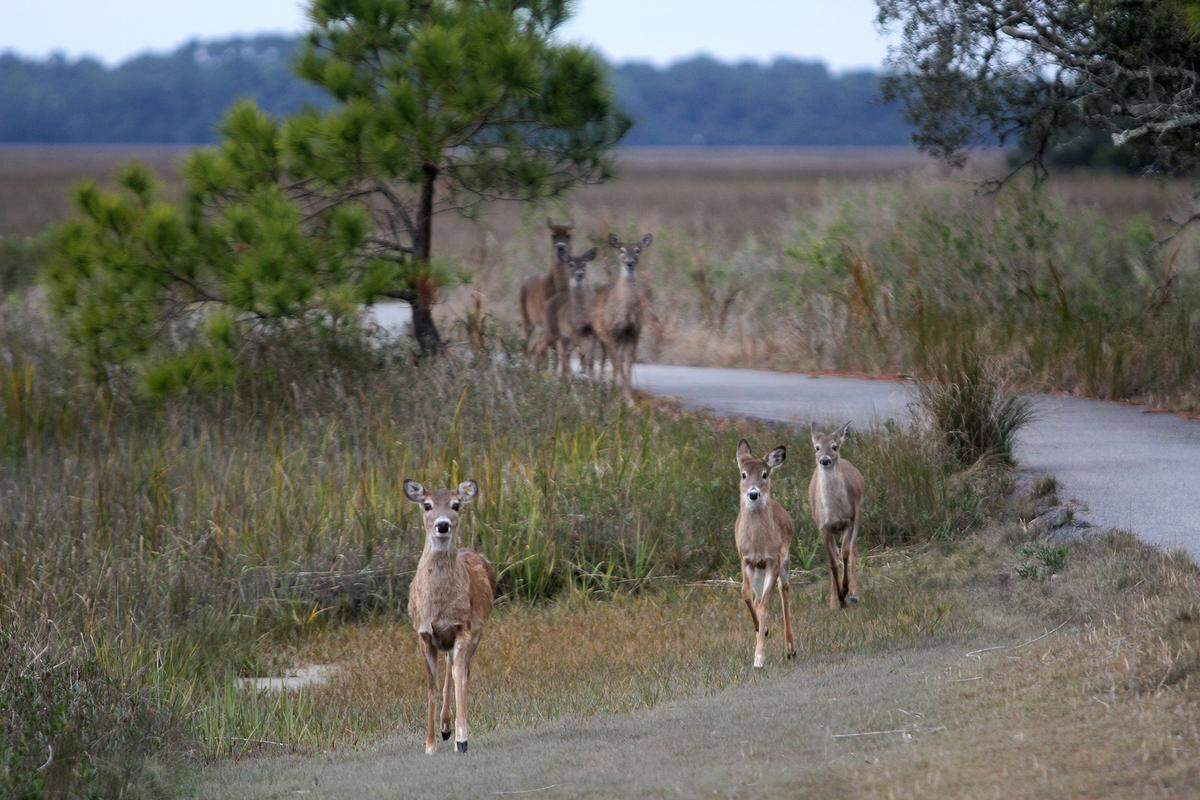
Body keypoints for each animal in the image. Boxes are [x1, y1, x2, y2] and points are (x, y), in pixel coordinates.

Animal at [403, 478, 496, 755]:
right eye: (427, 505)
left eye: (456, 505)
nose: (442, 525)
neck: (438, 607)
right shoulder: (424, 635)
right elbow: (431, 686)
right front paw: (429, 744)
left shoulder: (463, 629)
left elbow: (459, 678)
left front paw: (462, 739)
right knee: (448, 666)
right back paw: (444, 728)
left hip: (476, 634)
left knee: (460, 671)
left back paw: (451, 730)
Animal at [535, 246, 599, 381]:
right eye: (570, 264)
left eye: (584, 263)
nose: (579, 274)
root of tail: (547, 302)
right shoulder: (575, 331)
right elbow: (583, 354)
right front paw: (584, 376)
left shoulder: (594, 332)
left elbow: (590, 358)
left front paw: (591, 377)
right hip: (552, 329)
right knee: (541, 345)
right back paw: (538, 373)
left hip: (563, 336)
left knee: (561, 352)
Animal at [592, 233, 653, 404]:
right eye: (621, 250)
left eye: (638, 250)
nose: (629, 263)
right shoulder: (610, 331)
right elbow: (618, 363)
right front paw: (618, 396)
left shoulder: (633, 332)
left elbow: (628, 363)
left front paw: (629, 399)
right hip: (598, 333)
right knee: (600, 358)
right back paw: (599, 386)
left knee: (610, 358)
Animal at [733, 439, 797, 669]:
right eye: (743, 474)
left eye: (764, 474)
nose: (753, 494)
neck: (758, 543)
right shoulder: (745, 559)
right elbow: (745, 594)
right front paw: (763, 629)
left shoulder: (773, 560)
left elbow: (764, 606)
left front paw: (759, 658)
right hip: (758, 571)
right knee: (758, 595)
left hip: (785, 560)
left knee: (783, 591)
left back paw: (791, 649)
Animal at [808, 422, 865, 609]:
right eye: (817, 447)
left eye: (834, 446)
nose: (825, 460)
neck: (834, 513)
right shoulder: (823, 527)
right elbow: (832, 562)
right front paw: (837, 599)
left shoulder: (849, 521)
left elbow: (845, 554)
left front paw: (845, 591)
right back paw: (834, 599)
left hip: (858, 515)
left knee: (853, 551)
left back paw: (854, 595)